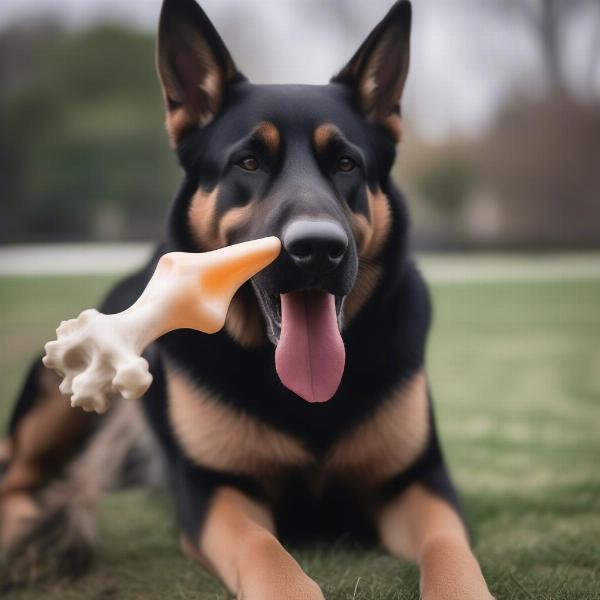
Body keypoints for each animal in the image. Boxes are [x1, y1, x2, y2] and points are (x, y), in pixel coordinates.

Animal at [1, 2, 496, 596]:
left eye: (346, 164)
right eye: (250, 163)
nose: (318, 249)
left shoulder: (418, 481)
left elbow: (449, 549)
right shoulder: (216, 490)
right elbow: (263, 549)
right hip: (58, 400)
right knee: (13, 473)